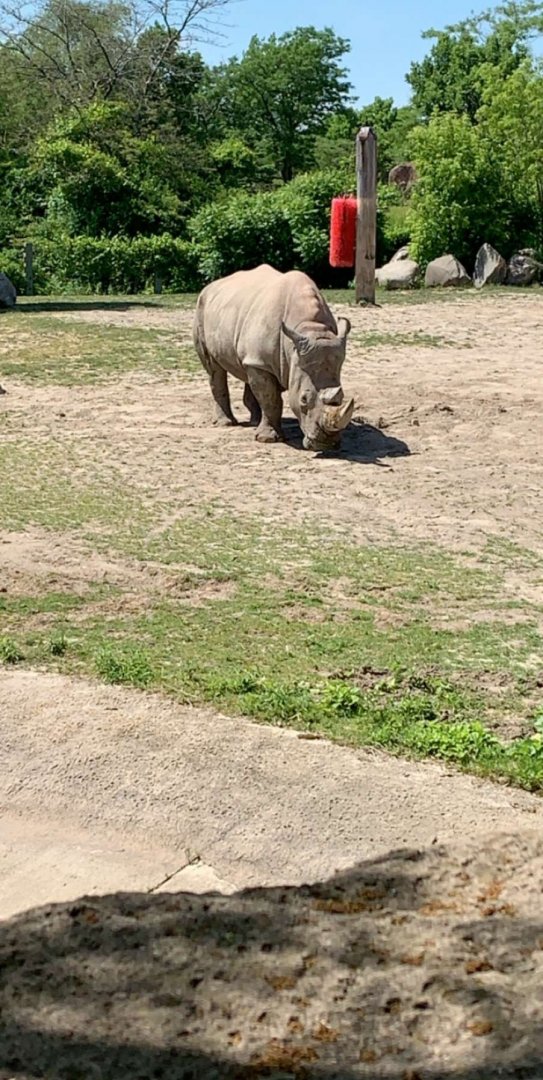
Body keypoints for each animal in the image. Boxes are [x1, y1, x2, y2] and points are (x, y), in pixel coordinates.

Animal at [193, 264, 354, 451]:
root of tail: (211, 286)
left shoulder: (263, 360)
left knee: (247, 370)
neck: (310, 328)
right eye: (303, 399)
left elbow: (266, 393)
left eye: (342, 398)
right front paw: (268, 439)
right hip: (201, 308)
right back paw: (226, 423)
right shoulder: (264, 362)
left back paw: (255, 421)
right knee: (215, 369)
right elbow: (271, 399)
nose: (326, 444)